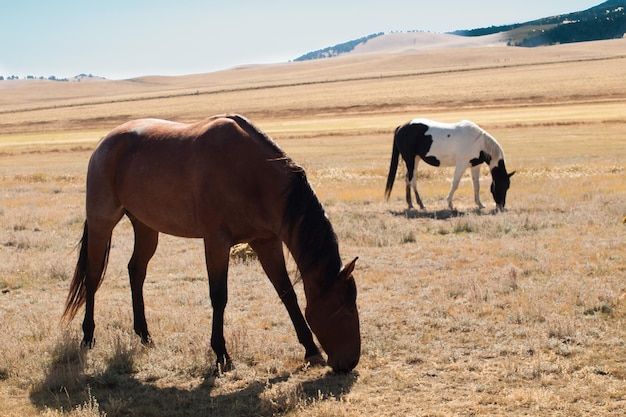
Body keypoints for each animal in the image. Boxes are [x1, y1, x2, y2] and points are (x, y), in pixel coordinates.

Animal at [62, 113, 360, 370]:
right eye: (343, 310)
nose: (351, 362)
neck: (252, 175)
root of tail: (105, 142)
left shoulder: (266, 241)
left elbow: (286, 292)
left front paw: (311, 349)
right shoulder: (216, 242)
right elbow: (219, 296)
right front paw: (221, 354)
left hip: (146, 227)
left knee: (136, 271)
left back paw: (144, 335)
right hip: (102, 223)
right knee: (92, 276)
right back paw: (88, 336)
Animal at [382, 118, 516, 210]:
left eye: (508, 186)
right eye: (502, 185)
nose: (501, 206)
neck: (479, 143)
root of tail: (401, 127)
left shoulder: (475, 166)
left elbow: (476, 186)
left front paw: (480, 204)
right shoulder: (461, 164)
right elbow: (455, 184)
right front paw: (450, 204)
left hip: (416, 159)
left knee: (407, 179)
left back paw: (411, 204)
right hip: (410, 159)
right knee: (412, 180)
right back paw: (421, 204)